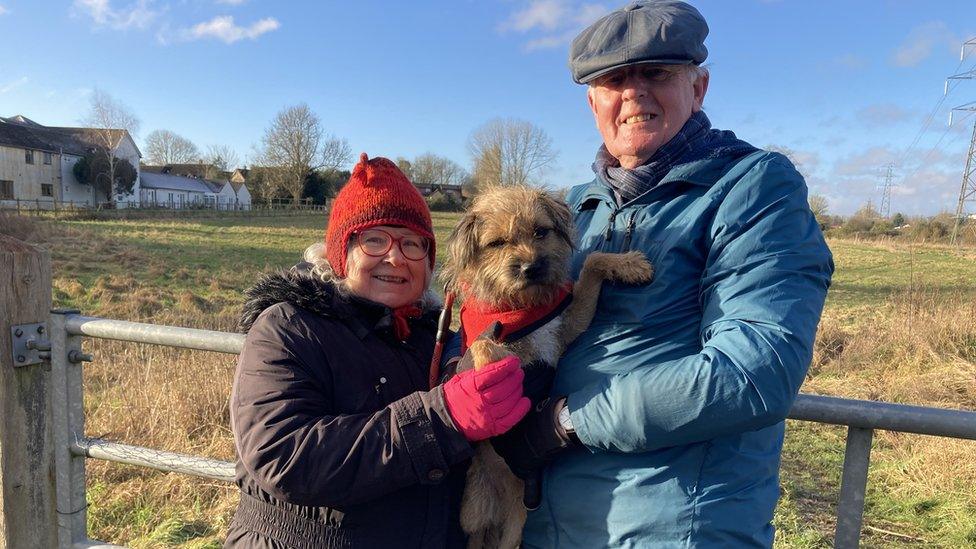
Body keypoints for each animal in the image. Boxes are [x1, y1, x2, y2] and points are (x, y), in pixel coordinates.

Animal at [440, 185, 652, 548]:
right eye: (497, 243)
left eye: (541, 232)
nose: (531, 267)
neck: (521, 305)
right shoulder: (484, 336)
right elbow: (482, 345)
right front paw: (493, 381)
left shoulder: (565, 330)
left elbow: (593, 261)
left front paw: (629, 264)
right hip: (472, 511)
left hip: (517, 520)